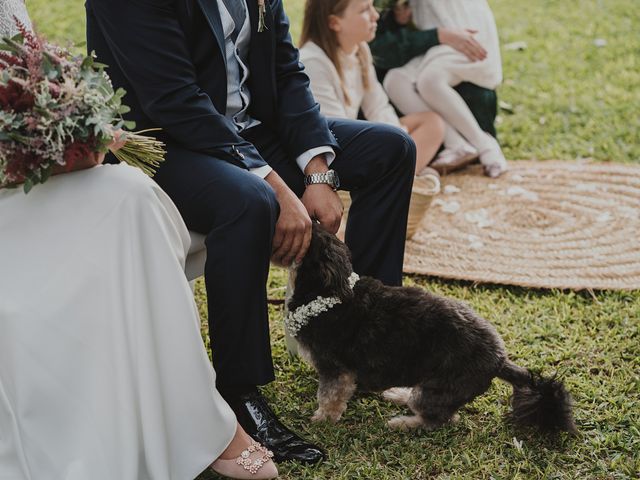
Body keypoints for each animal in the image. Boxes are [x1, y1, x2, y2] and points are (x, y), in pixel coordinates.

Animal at [288, 227, 576, 434]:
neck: (324, 292)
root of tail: (500, 360)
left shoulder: (335, 369)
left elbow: (330, 396)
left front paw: (322, 419)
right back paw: (399, 394)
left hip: (438, 390)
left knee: (440, 419)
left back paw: (403, 423)